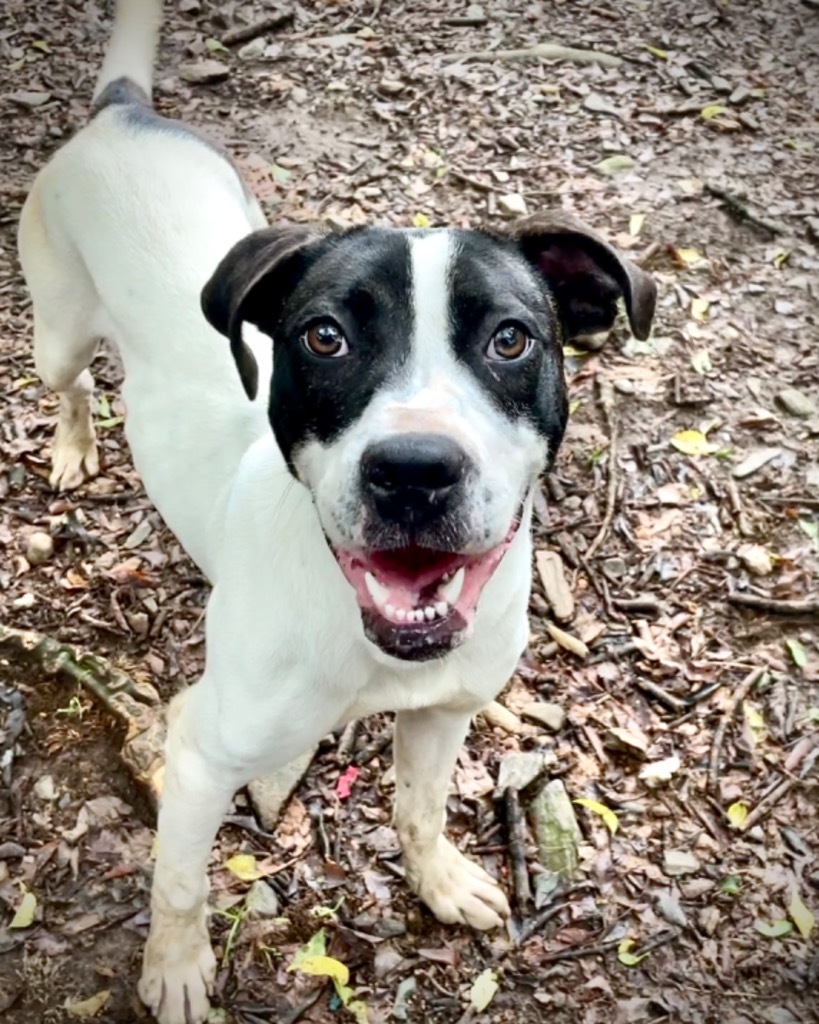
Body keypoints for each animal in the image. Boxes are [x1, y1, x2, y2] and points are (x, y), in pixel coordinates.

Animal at [17, 4, 659, 1019]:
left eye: (510, 339)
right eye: (323, 336)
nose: (413, 471)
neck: (364, 638)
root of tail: (121, 113)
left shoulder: (444, 712)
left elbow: (419, 806)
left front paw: (439, 880)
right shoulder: (197, 756)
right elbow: (180, 880)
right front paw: (176, 968)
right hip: (56, 330)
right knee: (74, 384)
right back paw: (77, 446)